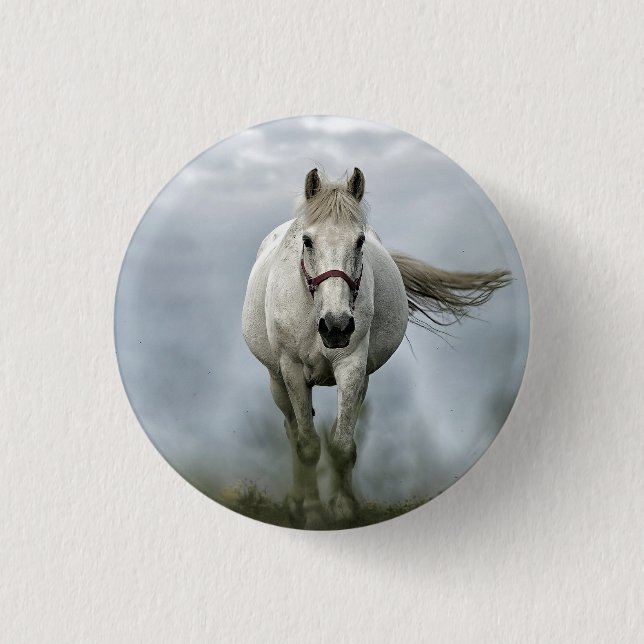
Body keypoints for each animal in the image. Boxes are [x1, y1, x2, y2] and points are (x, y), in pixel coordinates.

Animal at [241, 168, 511, 529]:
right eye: (307, 241)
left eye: (359, 242)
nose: (337, 326)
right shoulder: (293, 371)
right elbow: (308, 445)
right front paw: (312, 512)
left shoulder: (352, 367)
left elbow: (343, 446)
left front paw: (343, 510)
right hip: (277, 381)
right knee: (292, 430)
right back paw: (296, 503)